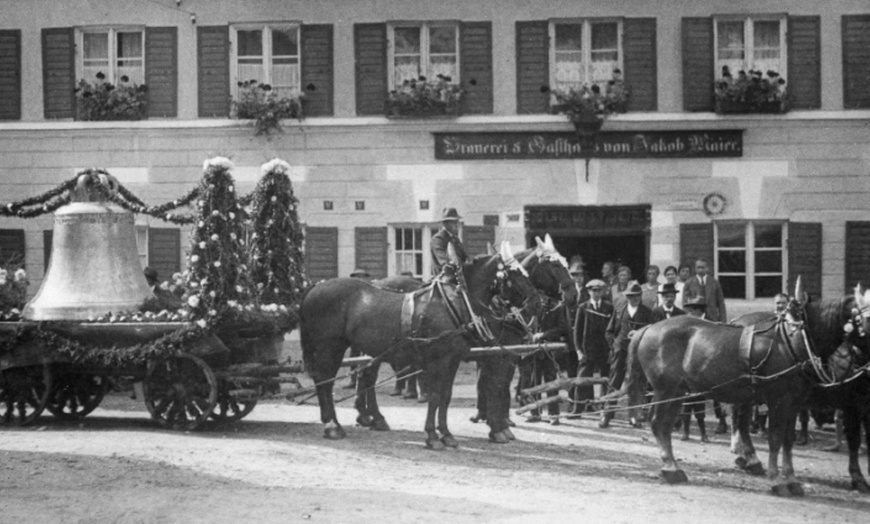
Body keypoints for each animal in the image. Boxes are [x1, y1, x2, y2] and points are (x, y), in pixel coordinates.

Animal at [304, 242, 540, 450]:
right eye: (514, 274)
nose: (538, 302)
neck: (455, 302)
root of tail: (315, 287)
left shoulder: (454, 360)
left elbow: (446, 396)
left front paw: (446, 434)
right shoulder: (444, 360)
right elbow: (438, 396)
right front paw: (433, 436)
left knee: (358, 377)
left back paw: (367, 419)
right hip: (329, 347)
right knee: (325, 380)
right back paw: (332, 425)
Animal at [624, 298, 816, 496]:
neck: (789, 342)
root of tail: (649, 328)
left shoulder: (793, 403)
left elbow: (787, 439)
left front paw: (792, 480)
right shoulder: (778, 400)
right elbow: (776, 439)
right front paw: (777, 480)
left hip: (676, 393)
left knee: (665, 425)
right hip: (666, 389)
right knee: (658, 422)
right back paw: (671, 468)